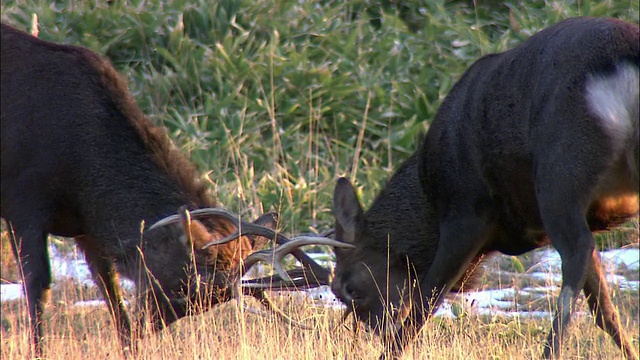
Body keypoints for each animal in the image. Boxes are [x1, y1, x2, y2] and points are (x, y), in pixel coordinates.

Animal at [1, 23, 344, 358]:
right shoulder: (23, 201)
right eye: (182, 288)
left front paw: (128, 345)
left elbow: (110, 289)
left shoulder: (88, 228)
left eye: (198, 306)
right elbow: (39, 286)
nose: (145, 330)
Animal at [330, 16, 640, 358]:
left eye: (349, 287)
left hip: (561, 171)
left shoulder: (465, 211)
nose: (373, 331)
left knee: (574, 255)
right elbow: (605, 311)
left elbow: (427, 298)